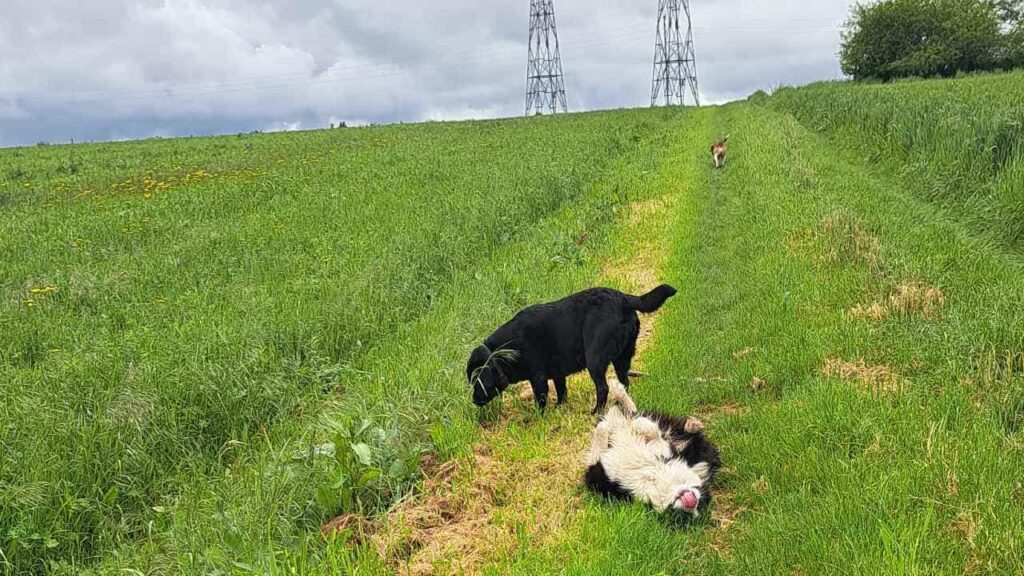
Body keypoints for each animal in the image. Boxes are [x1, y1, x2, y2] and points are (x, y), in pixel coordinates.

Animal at [466, 282, 675, 409]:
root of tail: (623, 298)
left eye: (477, 381)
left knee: (603, 388)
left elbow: (541, 400)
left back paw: (596, 411)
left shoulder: (538, 377)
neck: (505, 349)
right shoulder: (557, 374)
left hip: (595, 359)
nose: (474, 400)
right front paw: (560, 408)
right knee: (624, 383)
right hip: (622, 359)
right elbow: (561, 392)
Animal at [585, 379, 720, 512]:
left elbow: (601, 433)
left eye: (681, 515)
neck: (653, 473)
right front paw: (637, 424)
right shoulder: (662, 448)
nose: (693, 503)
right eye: (699, 489)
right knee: (633, 411)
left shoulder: (596, 474)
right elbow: (650, 429)